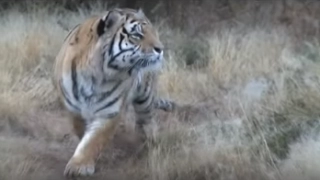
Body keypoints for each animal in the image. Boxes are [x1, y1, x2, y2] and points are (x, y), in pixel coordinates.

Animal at [53, 7, 176, 176]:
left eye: (154, 33)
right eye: (137, 36)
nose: (161, 49)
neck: (96, 75)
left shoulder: (109, 113)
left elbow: (93, 140)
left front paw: (80, 166)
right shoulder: (73, 108)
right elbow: (81, 130)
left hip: (145, 96)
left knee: (147, 119)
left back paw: (148, 140)